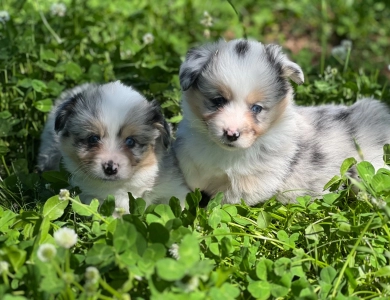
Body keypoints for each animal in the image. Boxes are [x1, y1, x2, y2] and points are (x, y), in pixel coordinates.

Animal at [174, 38, 390, 205]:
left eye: (257, 108)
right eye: (218, 101)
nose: (231, 134)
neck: (225, 153)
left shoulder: (254, 182)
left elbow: (225, 201)